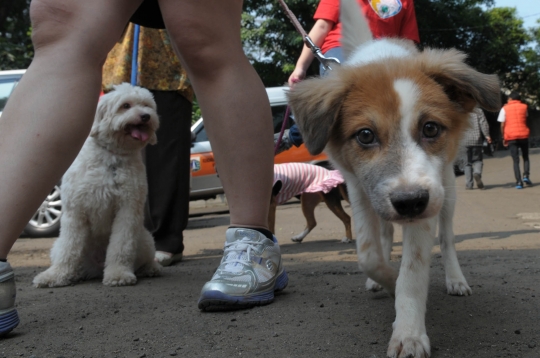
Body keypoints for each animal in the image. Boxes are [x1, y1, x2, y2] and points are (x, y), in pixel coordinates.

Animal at [33, 83, 162, 288]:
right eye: (126, 105)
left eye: (147, 105)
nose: (146, 116)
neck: (111, 158)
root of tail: (96, 267)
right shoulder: (75, 211)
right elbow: (69, 248)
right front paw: (55, 275)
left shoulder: (128, 209)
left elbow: (121, 246)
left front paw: (118, 274)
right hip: (57, 245)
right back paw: (73, 274)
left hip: (145, 239)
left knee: (144, 259)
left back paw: (151, 268)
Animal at [286, 1, 502, 356]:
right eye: (365, 135)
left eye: (431, 128)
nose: (409, 203)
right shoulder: (359, 190)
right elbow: (369, 254)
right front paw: (385, 280)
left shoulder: (427, 198)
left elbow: (412, 272)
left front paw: (409, 332)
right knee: (385, 235)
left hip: (447, 191)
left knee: (447, 238)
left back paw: (455, 279)